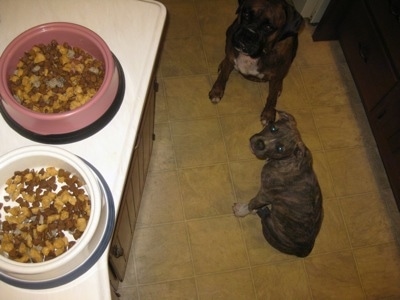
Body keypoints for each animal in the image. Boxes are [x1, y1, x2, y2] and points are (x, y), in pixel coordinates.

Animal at [233, 111, 324, 256]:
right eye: (273, 128)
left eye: (280, 148)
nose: (259, 144)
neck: (287, 160)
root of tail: (305, 250)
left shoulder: (266, 193)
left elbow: (253, 203)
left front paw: (242, 210)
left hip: (269, 225)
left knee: (264, 215)